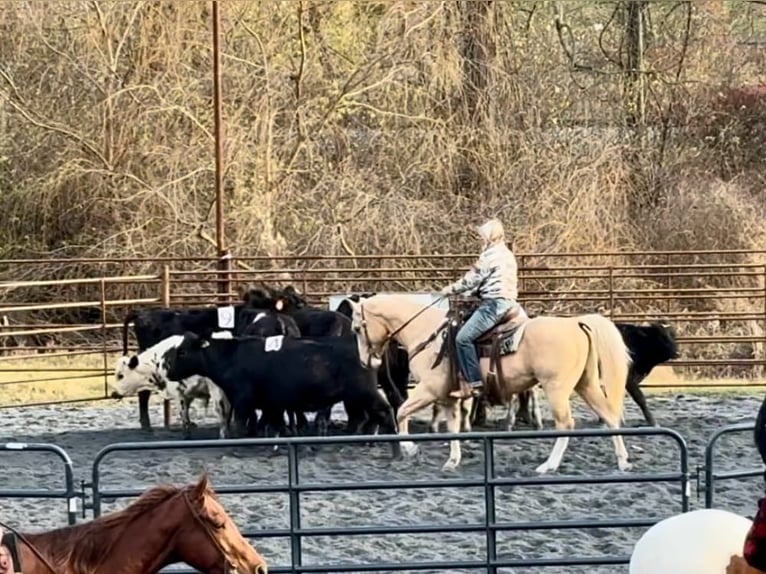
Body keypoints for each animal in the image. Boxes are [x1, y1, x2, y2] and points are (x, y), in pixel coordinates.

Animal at [162, 332, 402, 460]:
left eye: (182, 351)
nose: (168, 369)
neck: (232, 357)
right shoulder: (272, 403)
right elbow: (277, 425)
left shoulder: (243, 400)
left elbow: (241, 425)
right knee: (370, 417)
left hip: (365, 392)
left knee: (384, 413)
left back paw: (396, 450)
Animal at [344, 294, 632, 474]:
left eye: (357, 328)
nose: (366, 362)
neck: (426, 334)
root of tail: (576, 322)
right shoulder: (448, 397)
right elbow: (452, 428)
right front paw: (452, 461)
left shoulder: (429, 390)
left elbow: (402, 412)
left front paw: (410, 448)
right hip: (586, 384)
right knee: (610, 416)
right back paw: (623, 461)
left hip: (556, 388)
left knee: (566, 425)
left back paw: (548, 466)